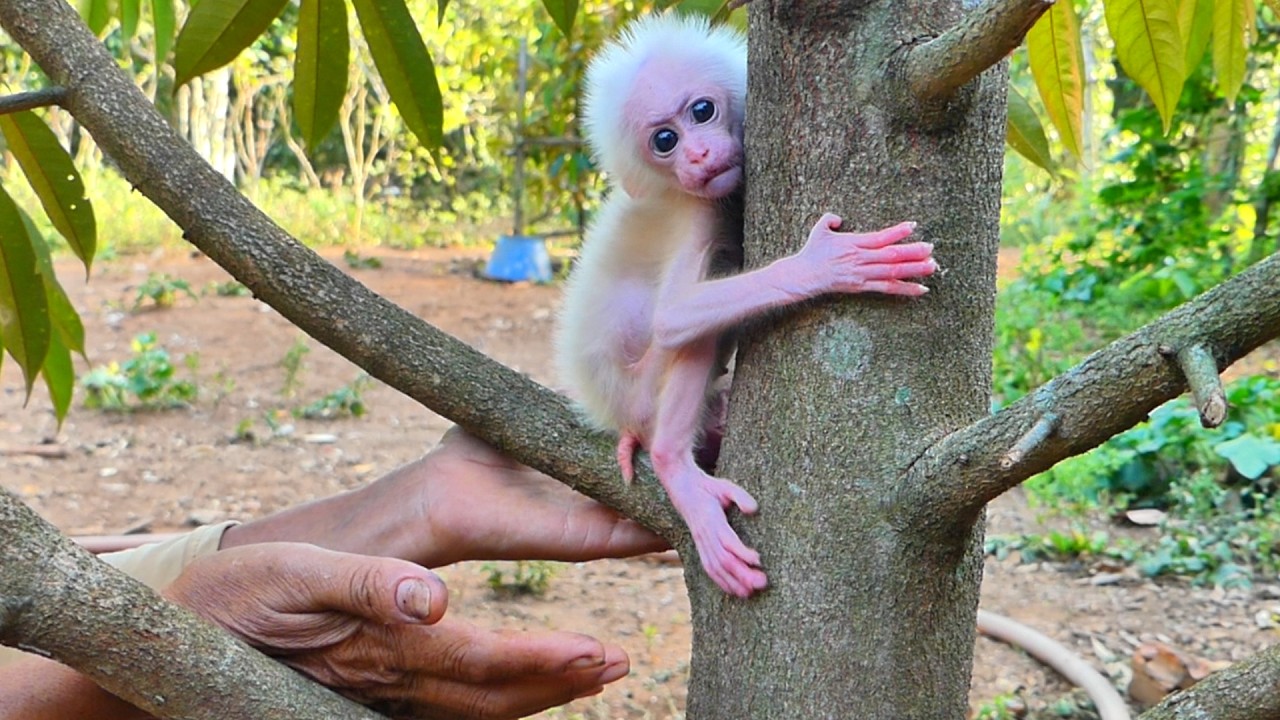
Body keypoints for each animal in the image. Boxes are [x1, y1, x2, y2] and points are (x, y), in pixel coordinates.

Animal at [555, 14, 937, 597]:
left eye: (702, 112)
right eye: (664, 141)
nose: (696, 156)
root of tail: (605, 408)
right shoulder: (696, 207)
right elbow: (672, 316)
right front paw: (824, 266)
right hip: (641, 391)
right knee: (689, 335)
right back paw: (675, 465)